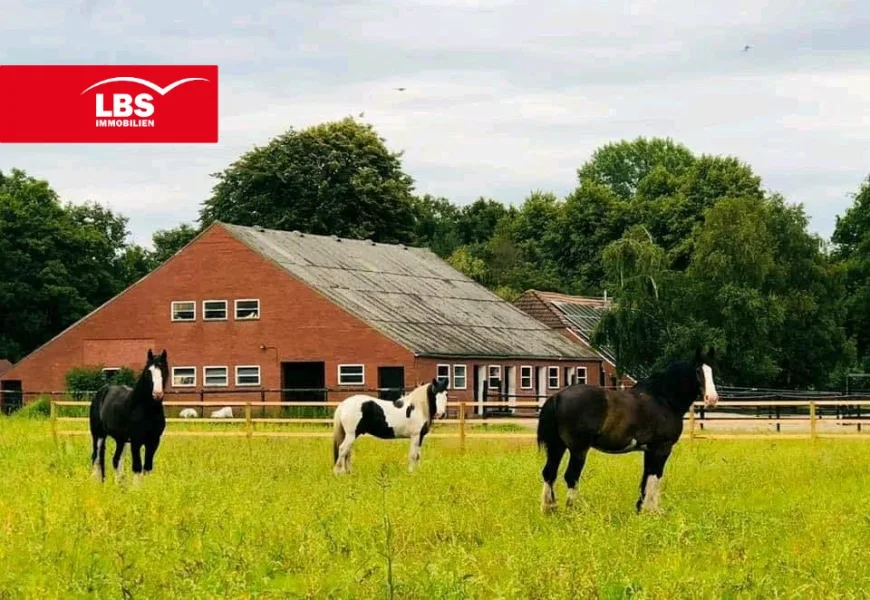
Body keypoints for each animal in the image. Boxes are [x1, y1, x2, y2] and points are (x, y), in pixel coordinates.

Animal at [89, 346, 169, 482]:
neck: (145, 409)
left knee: (116, 460)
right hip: (98, 435)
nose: (157, 394)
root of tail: (102, 391)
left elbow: (147, 468)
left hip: (121, 439)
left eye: (164, 370)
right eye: (148, 372)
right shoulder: (136, 441)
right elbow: (137, 467)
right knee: (96, 458)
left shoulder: (153, 441)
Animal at [540, 350, 724, 512]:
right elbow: (655, 477)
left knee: (549, 473)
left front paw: (641, 509)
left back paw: (549, 509)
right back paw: (575, 510)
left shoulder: (649, 450)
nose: (712, 399)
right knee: (571, 476)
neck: (663, 399)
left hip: (557, 446)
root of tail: (557, 397)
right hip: (578, 450)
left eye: (713, 369)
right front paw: (653, 511)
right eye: (698, 371)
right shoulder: (662, 448)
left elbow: (646, 478)